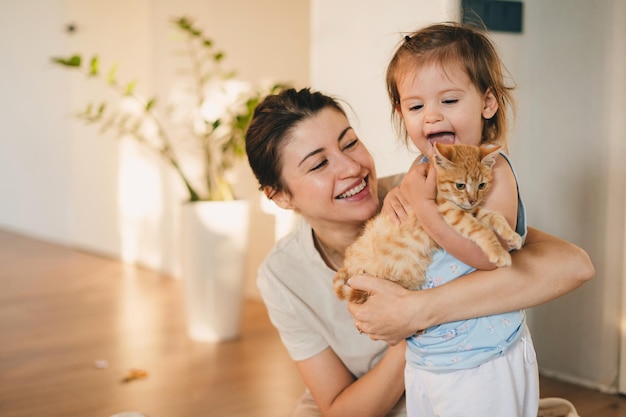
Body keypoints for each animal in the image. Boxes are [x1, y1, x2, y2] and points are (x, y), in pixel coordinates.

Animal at [334, 142, 520, 302]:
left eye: (482, 185)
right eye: (460, 185)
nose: (473, 200)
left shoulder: (470, 210)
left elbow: (494, 216)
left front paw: (511, 236)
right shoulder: (449, 211)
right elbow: (481, 229)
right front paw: (498, 252)